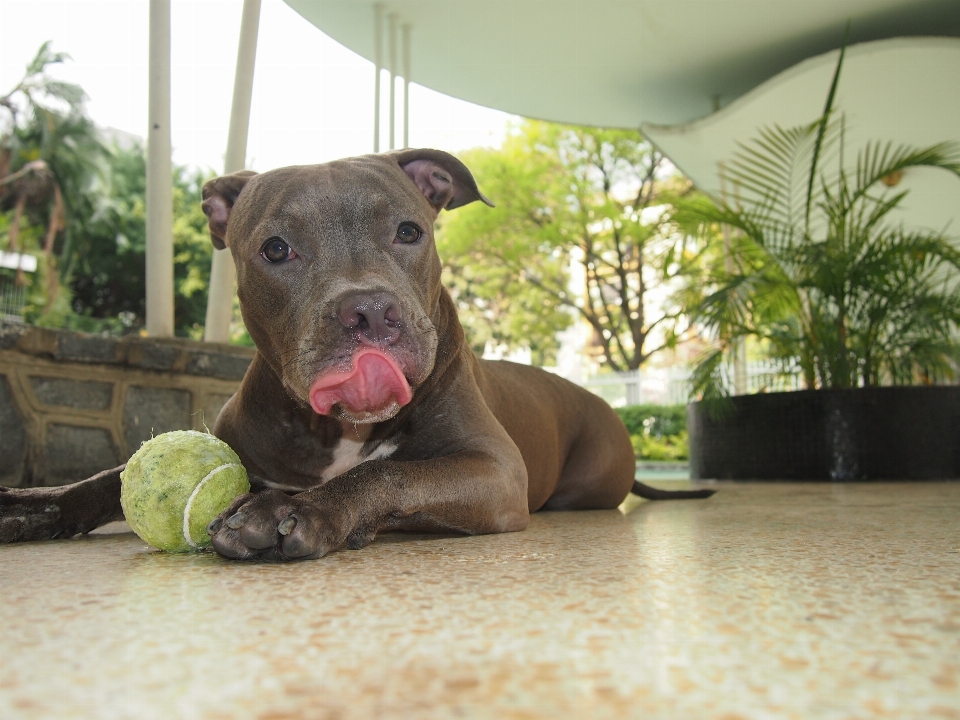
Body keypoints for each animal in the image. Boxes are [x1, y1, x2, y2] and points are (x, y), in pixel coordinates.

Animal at [0, 149, 712, 560]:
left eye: (409, 231)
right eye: (276, 248)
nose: (369, 311)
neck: (338, 429)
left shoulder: (494, 472)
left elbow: (389, 474)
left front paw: (299, 511)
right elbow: (107, 476)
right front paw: (34, 505)